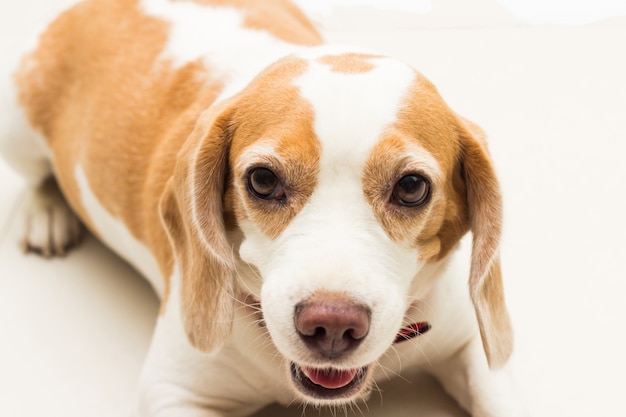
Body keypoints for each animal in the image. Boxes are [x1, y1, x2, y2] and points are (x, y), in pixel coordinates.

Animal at [0, 0, 528, 416]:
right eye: (263, 180)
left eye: (412, 187)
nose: (332, 324)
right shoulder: (173, 392)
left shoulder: (470, 344)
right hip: (17, 126)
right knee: (38, 173)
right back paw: (45, 211)